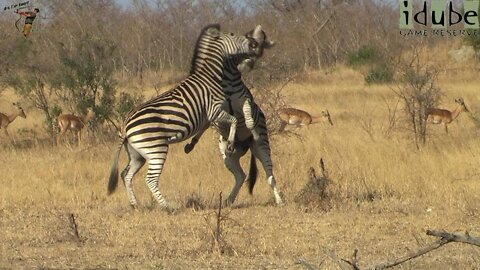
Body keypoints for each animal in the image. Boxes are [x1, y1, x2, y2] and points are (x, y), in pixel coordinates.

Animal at [107, 25, 262, 211]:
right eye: (233, 35)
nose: (254, 43)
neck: (211, 75)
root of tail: (125, 125)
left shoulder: (207, 117)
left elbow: (205, 128)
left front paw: (190, 145)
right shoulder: (214, 110)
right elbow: (233, 120)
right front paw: (230, 145)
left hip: (137, 154)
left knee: (126, 174)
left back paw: (135, 204)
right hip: (156, 149)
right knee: (150, 179)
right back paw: (168, 207)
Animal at [183, 26, 284, 206]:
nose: (249, 63)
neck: (227, 83)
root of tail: (245, 146)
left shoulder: (244, 100)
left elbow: (247, 114)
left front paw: (252, 127)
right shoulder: (213, 108)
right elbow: (204, 126)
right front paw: (191, 144)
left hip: (261, 149)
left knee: (270, 175)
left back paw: (279, 201)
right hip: (227, 156)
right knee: (241, 175)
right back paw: (228, 201)